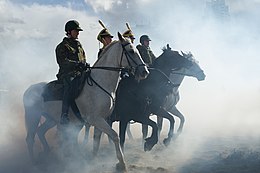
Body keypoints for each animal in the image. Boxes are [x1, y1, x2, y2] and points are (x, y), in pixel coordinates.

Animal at [23, 32, 149, 170]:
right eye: (131, 51)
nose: (145, 72)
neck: (100, 83)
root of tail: (29, 89)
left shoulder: (102, 119)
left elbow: (97, 140)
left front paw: (92, 160)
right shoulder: (96, 119)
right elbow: (115, 136)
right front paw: (121, 163)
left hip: (51, 119)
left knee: (41, 132)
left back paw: (48, 152)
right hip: (33, 117)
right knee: (30, 138)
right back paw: (34, 162)